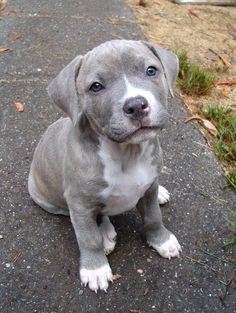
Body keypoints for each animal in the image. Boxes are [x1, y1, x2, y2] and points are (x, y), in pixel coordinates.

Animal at [28, 40, 182, 292]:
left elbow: (153, 216)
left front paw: (162, 240)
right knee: (95, 216)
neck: (126, 153)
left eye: (151, 70)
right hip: (51, 200)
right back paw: (106, 235)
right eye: (96, 87)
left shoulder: (148, 186)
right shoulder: (79, 203)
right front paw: (95, 268)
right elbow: (88, 237)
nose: (136, 105)